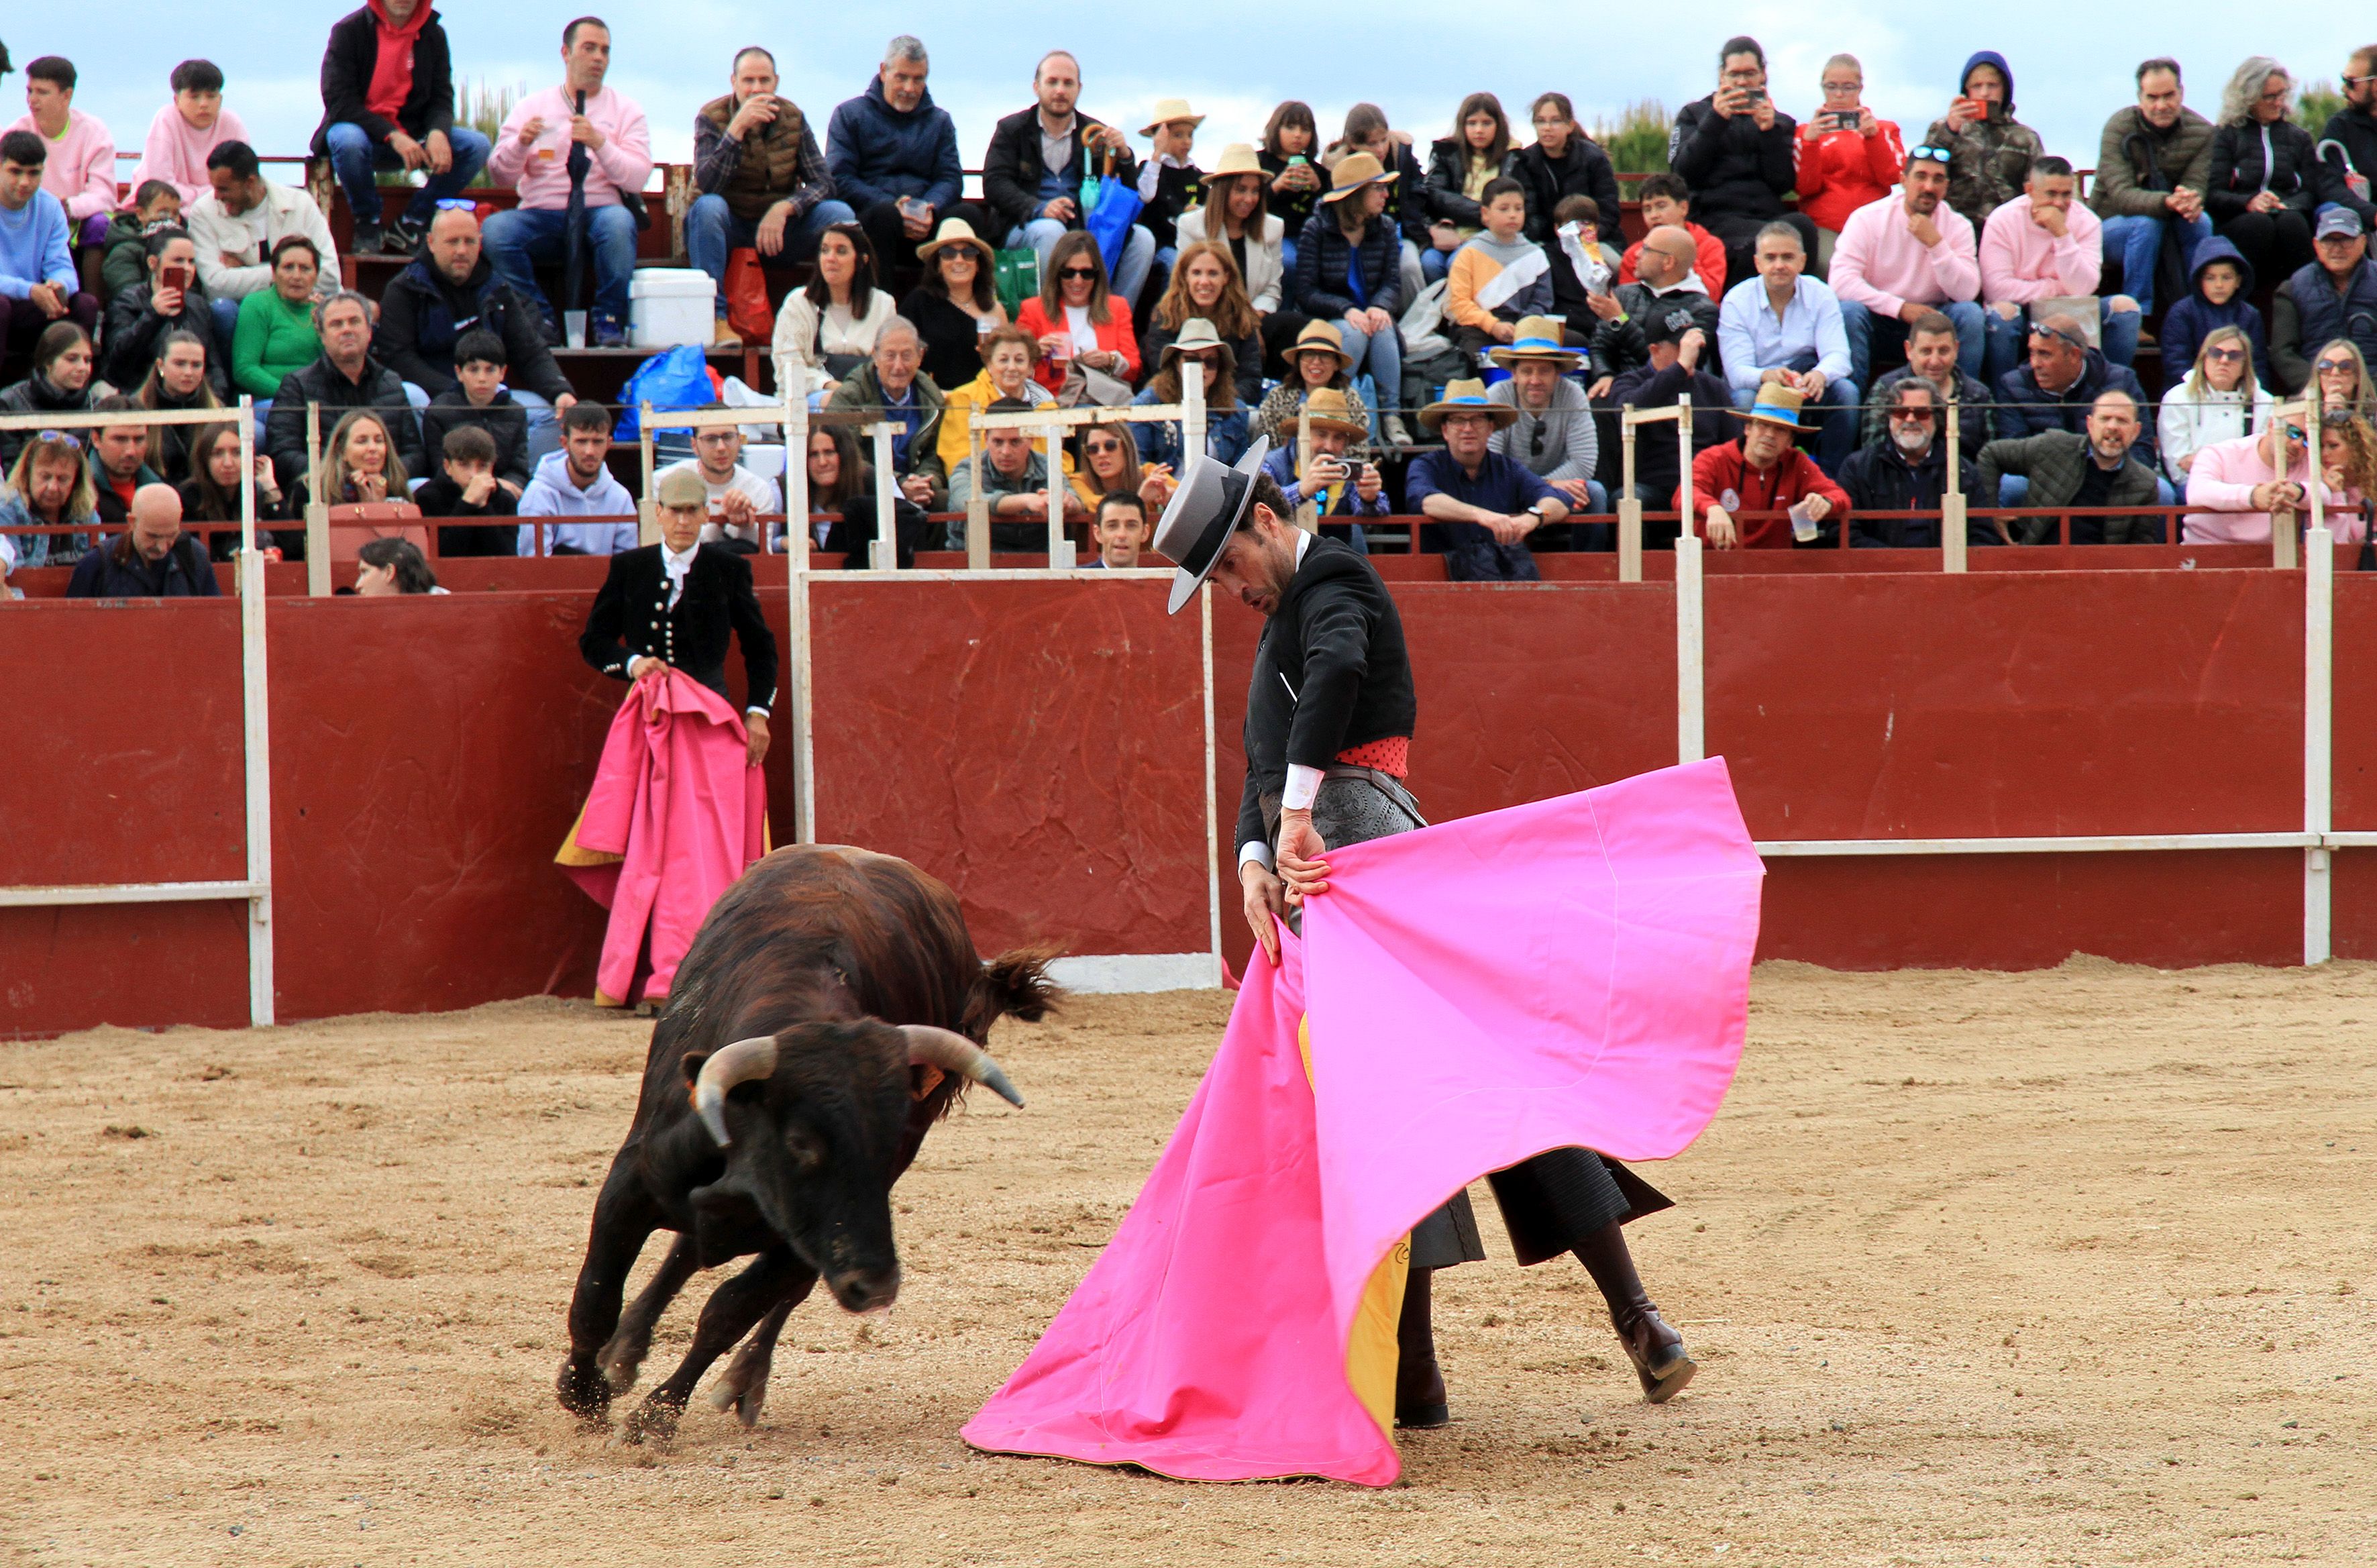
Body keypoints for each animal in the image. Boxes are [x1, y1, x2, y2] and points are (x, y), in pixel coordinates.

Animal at [556, 850, 1060, 1434]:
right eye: (800, 1142)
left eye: (890, 1142)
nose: (879, 1285)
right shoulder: (632, 1182)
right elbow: (596, 1295)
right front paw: (584, 1392)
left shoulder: (817, 1235)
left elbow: (728, 1311)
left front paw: (656, 1418)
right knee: (683, 1252)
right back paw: (624, 1351)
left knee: (767, 1287)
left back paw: (743, 1378)